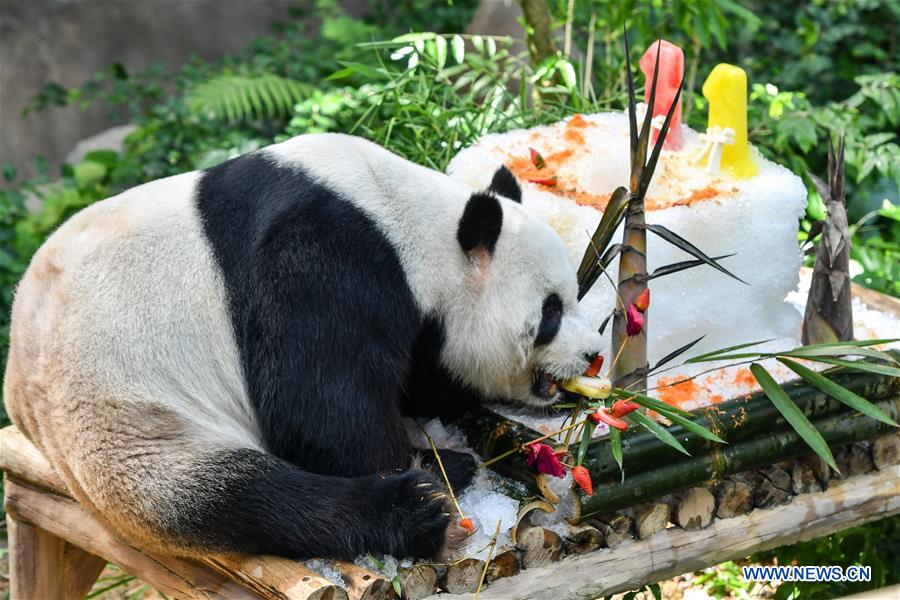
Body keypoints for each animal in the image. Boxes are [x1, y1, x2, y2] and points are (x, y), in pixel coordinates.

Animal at [4, 133, 603, 560]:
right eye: (550, 312)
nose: (593, 355)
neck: (413, 222)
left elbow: (419, 375)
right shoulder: (324, 261)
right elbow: (319, 413)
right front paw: (421, 463)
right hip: (129, 423)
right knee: (244, 498)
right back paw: (420, 504)